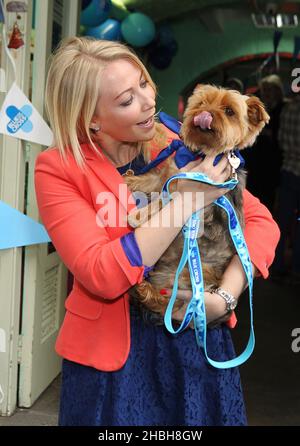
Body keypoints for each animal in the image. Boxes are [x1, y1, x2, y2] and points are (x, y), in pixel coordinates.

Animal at [124, 84, 270, 318]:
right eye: (202, 103)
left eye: (229, 111)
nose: (205, 114)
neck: (199, 154)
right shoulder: (165, 176)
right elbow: (148, 180)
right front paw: (128, 178)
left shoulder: (186, 193)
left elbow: (163, 202)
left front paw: (137, 216)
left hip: (194, 275)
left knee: (168, 301)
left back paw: (146, 290)